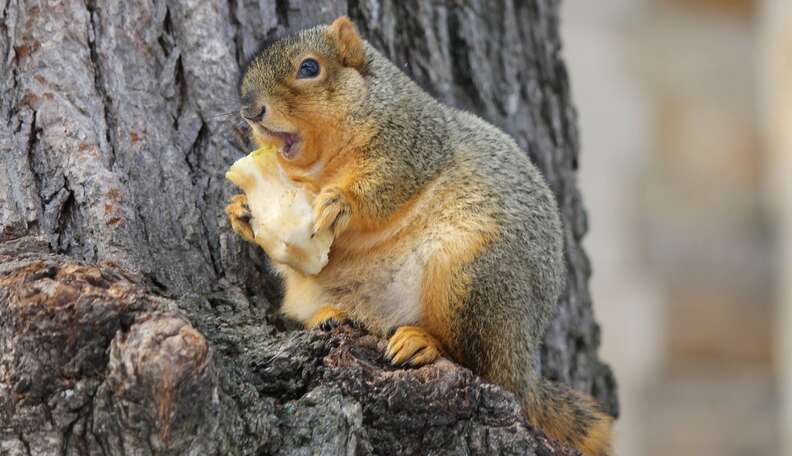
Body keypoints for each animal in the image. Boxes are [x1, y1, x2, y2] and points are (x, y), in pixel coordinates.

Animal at [226, 16, 616, 454]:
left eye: (309, 68)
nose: (250, 110)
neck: (320, 167)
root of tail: (522, 362)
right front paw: (240, 211)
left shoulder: (410, 145)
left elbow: (382, 189)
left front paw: (341, 202)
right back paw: (331, 317)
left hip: (472, 277)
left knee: (477, 361)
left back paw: (423, 342)